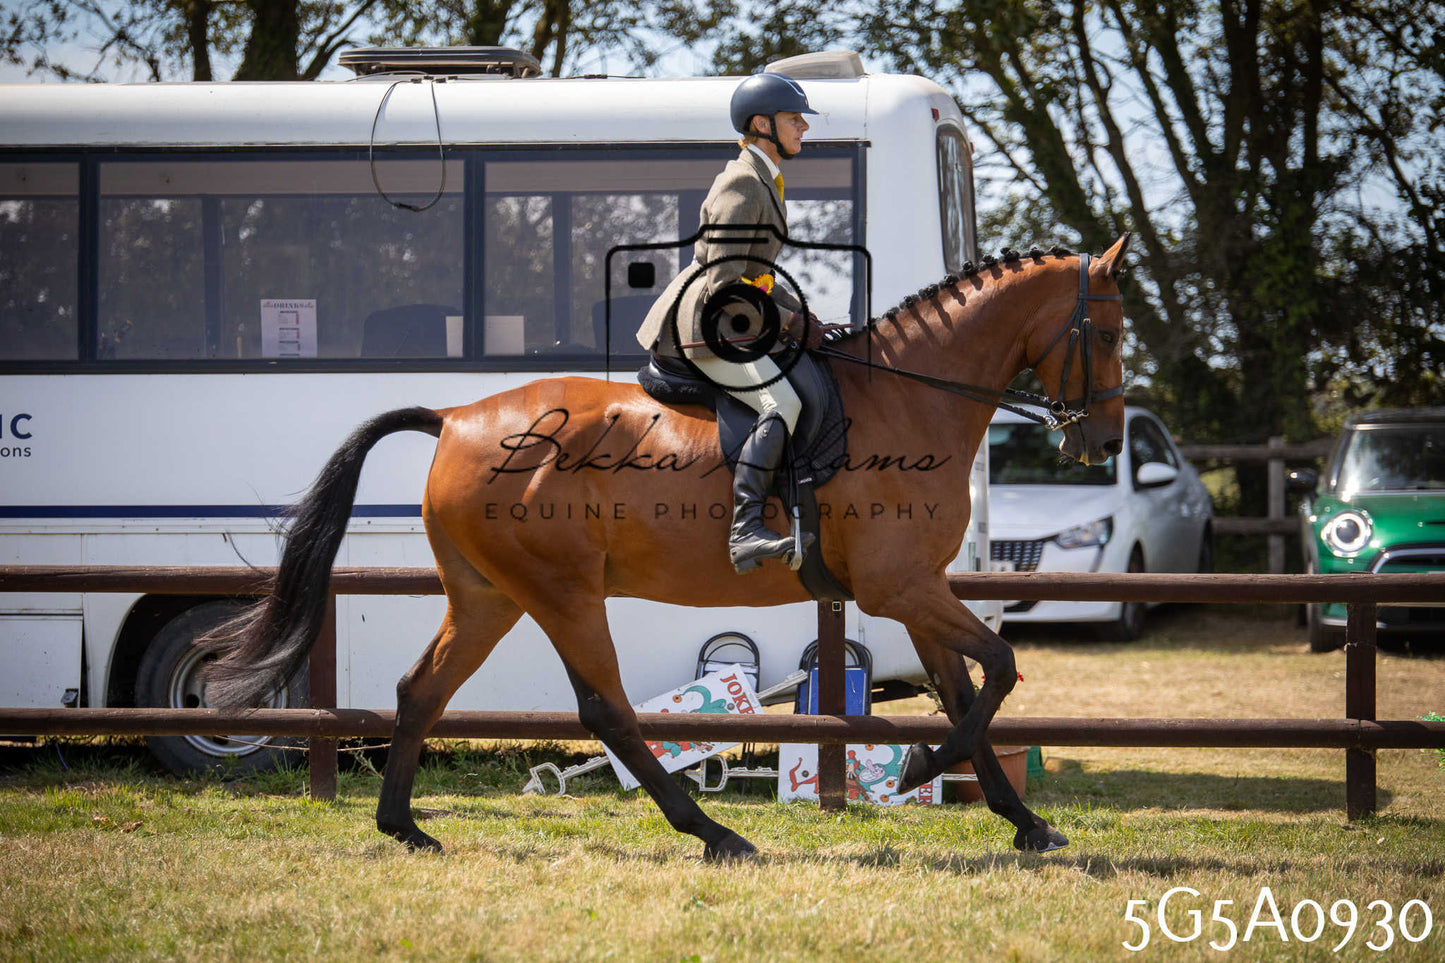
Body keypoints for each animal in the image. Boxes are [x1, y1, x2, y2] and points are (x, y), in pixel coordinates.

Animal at [204, 235, 1132, 859]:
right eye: (1112, 335)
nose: (1105, 442)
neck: (912, 398)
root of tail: (456, 416)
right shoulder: (898, 586)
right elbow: (999, 669)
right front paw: (916, 771)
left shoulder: (918, 588)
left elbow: (965, 690)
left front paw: (1021, 820)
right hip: (563, 593)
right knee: (605, 709)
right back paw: (713, 832)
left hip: (490, 595)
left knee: (422, 689)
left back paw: (404, 827)